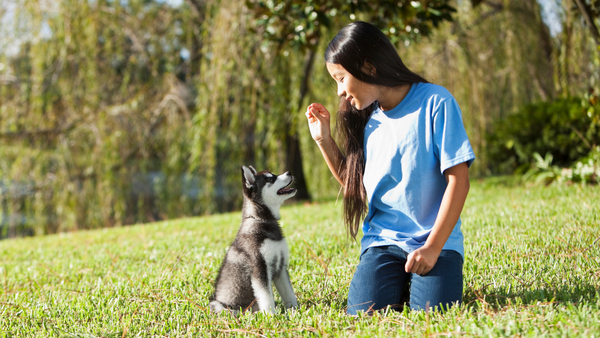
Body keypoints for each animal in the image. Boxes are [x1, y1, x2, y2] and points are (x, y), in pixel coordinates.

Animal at [210, 166, 298, 314]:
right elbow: (267, 297)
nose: (289, 172)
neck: (261, 221)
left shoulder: (281, 267)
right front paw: (272, 315)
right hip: (220, 305)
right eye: (270, 179)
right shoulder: (259, 268)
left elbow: (289, 293)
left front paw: (295, 310)